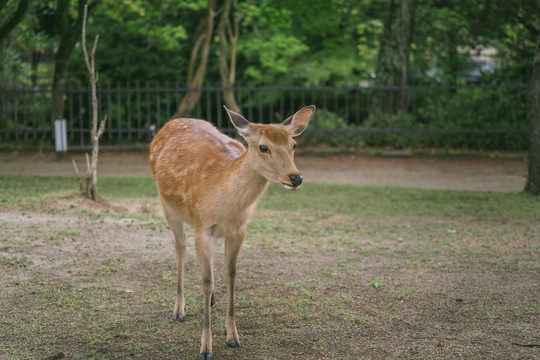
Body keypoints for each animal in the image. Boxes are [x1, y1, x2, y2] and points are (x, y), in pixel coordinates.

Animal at [150, 105, 314, 358]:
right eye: (263, 147)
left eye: (294, 144)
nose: (295, 177)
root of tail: (170, 123)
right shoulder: (201, 226)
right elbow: (205, 281)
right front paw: (205, 348)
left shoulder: (239, 229)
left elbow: (232, 275)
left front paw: (233, 337)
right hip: (167, 205)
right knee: (180, 248)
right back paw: (178, 310)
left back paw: (212, 300)